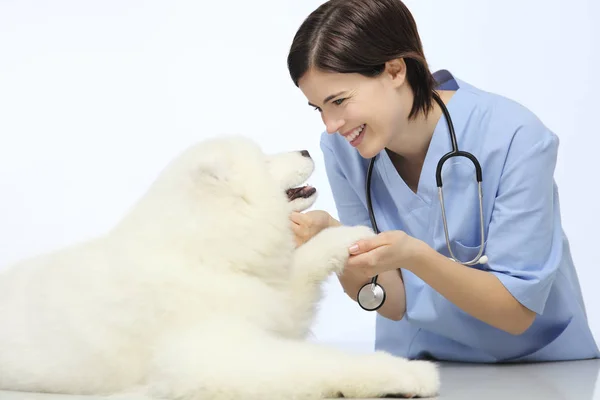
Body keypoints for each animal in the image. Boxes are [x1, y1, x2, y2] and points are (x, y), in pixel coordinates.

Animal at [0, 136, 438, 398]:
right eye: (264, 160)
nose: (305, 150)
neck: (205, 253)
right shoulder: (213, 355)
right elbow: (320, 363)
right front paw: (408, 375)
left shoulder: (274, 301)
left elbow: (303, 264)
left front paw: (348, 234)